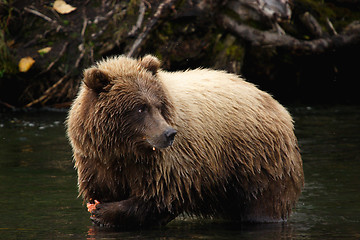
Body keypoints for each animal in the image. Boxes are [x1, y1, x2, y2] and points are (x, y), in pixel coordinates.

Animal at [67, 54, 304, 229]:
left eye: (157, 105)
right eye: (140, 108)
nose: (169, 133)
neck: (124, 149)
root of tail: (276, 104)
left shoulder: (166, 165)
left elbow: (158, 198)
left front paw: (104, 212)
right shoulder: (98, 162)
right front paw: (100, 209)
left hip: (256, 161)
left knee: (264, 202)